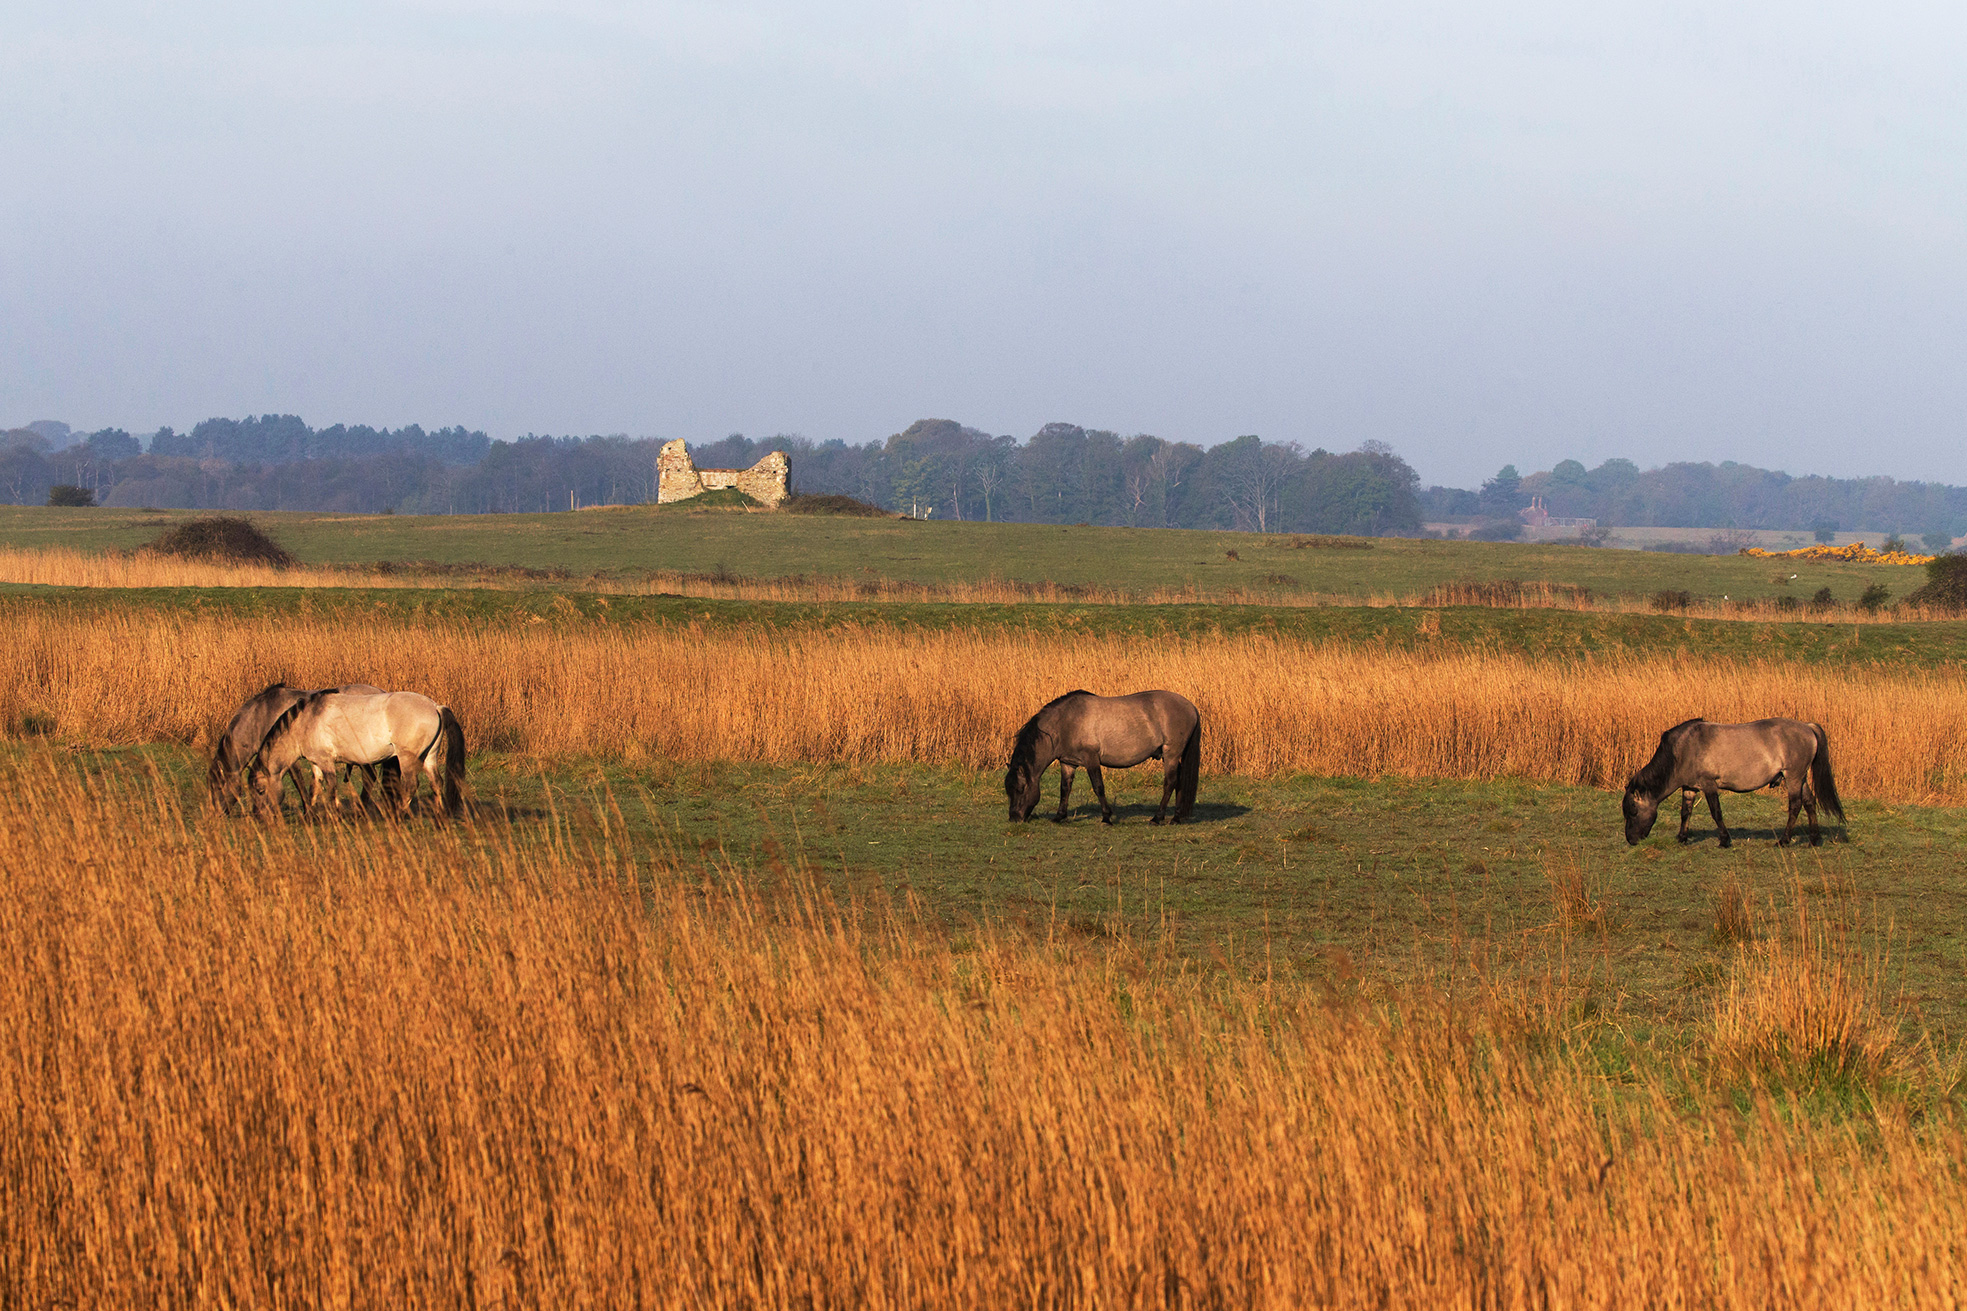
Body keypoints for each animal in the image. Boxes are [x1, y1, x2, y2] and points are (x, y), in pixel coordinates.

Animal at [251, 685, 466, 818]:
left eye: (260, 790)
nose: (259, 816)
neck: (306, 720)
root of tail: (435, 706)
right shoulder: (316, 762)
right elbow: (315, 787)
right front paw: (309, 815)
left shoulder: (326, 762)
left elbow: (331, 787)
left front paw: (335, 814)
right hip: (430, 757)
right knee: (436, 783)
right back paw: (440, 816)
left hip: (407, 758)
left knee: (412, 785)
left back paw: (399, 815)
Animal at [1014, 688, 1195, 822]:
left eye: (1020, 789)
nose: (1014, 818)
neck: (1067, 722)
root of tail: (1191, 707)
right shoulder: (1068, 762)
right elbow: (1065, 788)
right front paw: (1059, 816)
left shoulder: (1091, 759)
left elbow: (1098, 787)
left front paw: (1107, 817)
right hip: (1169, 756)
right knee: (1179, 781)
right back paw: (1176, 818)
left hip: (1171, 754)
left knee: (1170, 782)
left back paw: (1157, 818)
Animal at [1620, 716, 1833, 846]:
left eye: (1633, 811)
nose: (1631, 840)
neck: (1682, 750)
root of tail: (1807, 727)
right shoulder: (1689, 787)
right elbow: (1685, 812)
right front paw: (1682, 837)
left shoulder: (1709, 785)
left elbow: (1716, 812)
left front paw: (1724, 840)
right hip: (1800, 778)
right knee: (1809, 802)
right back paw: (1814, 839)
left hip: (1793, 777)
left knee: (1795, 805)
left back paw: (1784, 840)